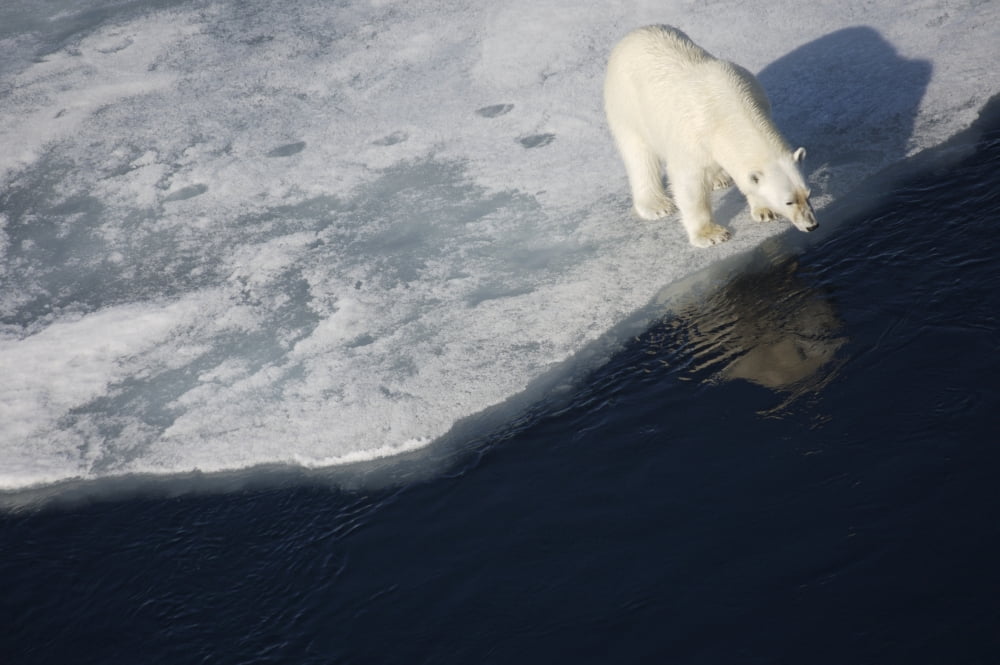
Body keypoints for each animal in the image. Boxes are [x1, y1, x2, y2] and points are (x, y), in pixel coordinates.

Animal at [603, 25, 817, 247]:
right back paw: (656, 205)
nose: (812, 225)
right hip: (626, 105)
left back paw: (719, 179)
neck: (731, 108)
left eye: (808, 194)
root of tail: (634, 34)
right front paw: (710, 234)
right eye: (788, 201)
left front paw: (764, 210)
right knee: (639, 157)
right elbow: (689, 184)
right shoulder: (692, 136)